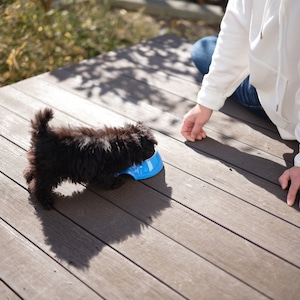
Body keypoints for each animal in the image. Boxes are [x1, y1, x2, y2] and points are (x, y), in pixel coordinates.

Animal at [23, 107, 157, 209]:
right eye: (151, 145)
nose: (154, 151)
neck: (124, 143)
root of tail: (43, 133)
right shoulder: (104, 170)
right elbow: (107, 179)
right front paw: (116, 182)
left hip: (40, 164)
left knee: (30, 172)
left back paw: (28, 178)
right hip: (50, 171)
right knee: (39, 186)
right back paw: (46, 201)